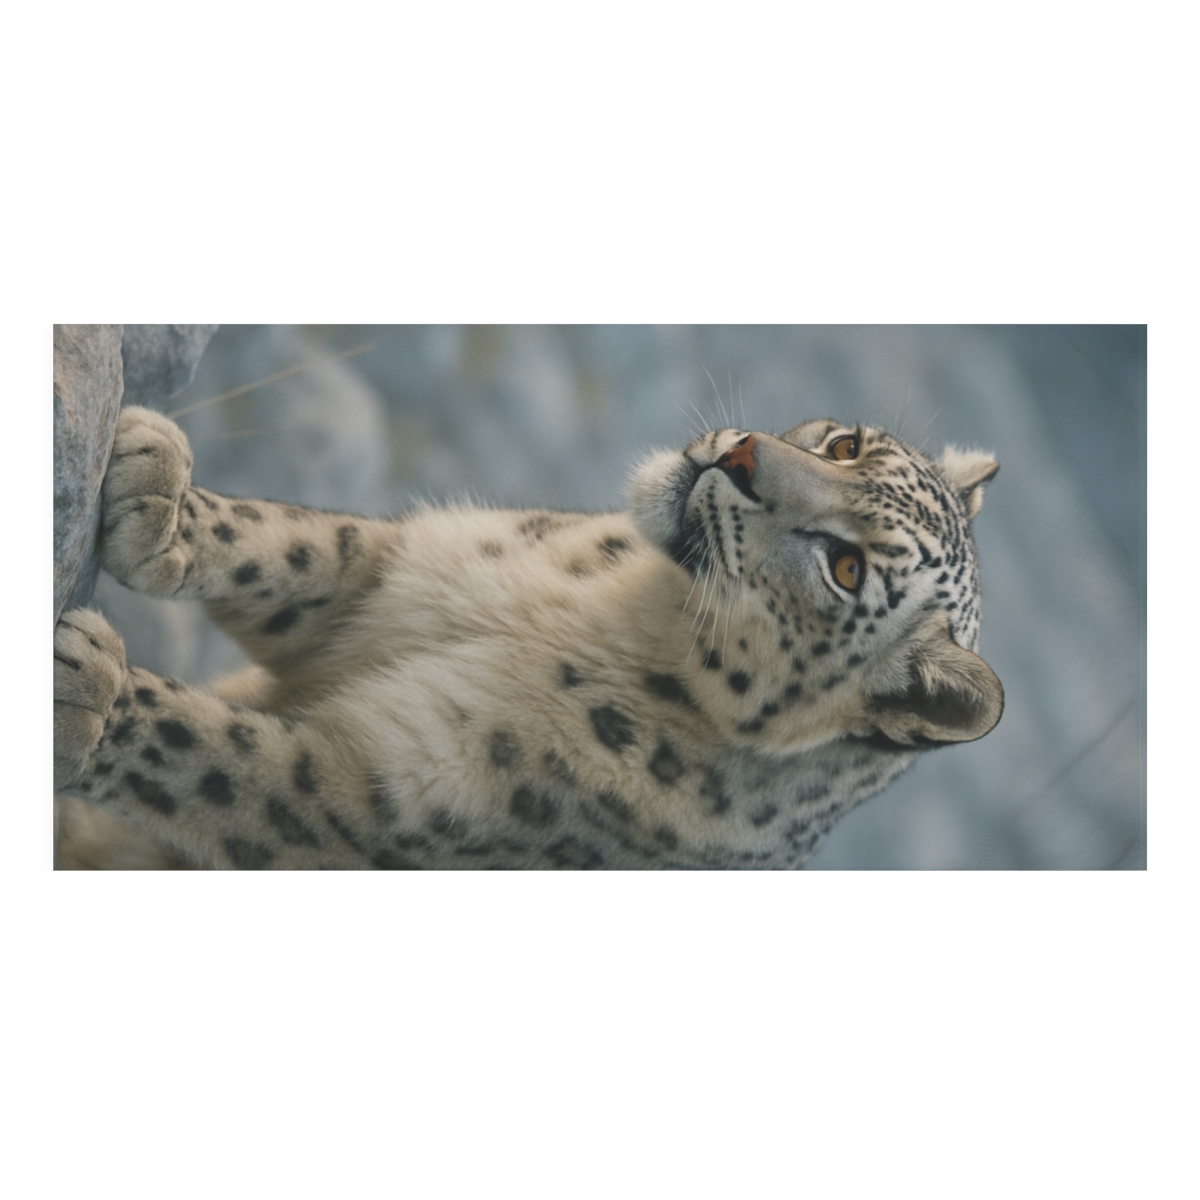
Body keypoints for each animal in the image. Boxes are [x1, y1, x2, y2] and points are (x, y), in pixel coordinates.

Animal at [53, 405, 1003, 869]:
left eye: (846, 568)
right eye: (846, 444)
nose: (735, 458)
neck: (624, 608)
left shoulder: (376, 797)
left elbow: (223, 757)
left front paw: (89, 693)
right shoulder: (405, 572)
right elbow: (301, 546)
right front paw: (158, 494)